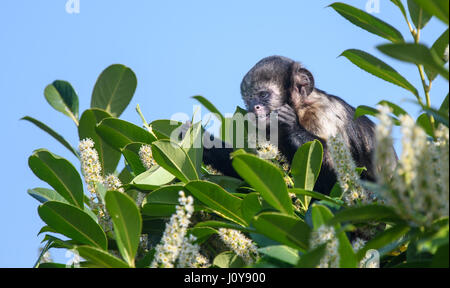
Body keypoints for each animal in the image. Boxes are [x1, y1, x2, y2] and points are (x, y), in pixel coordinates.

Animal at [181, 55, 396, 196]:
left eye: (263, 95)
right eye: (248, 100)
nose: (254, 107)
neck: (300, 108)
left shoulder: (322, 114)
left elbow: (346, 178)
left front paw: (293, 128)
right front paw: (200, 140)